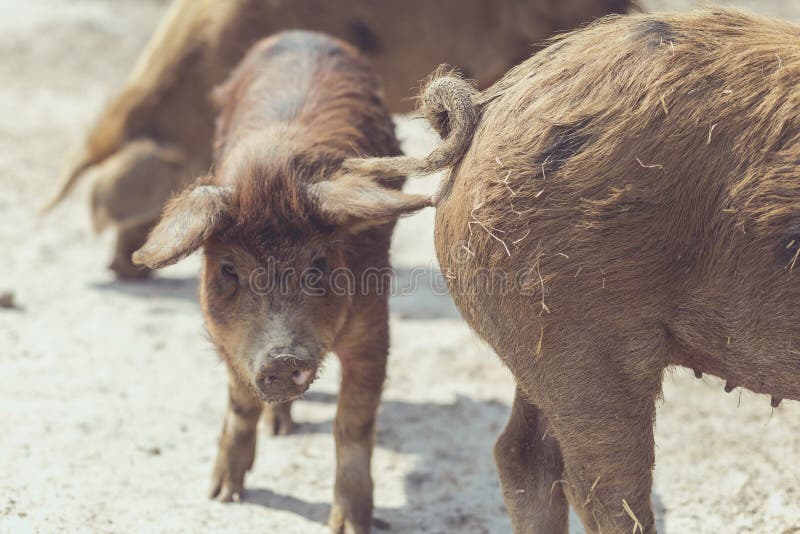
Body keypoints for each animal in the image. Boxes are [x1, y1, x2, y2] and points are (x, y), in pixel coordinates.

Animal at [133, 31, 432, 532]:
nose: (281, 357)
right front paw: (222, 496)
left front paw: (349, 525)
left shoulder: (373, 327)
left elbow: (352, 424)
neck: (274, 173)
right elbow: (241, 403)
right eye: (228, 269)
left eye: (317, 264)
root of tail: (304, 35)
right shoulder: (227, 337)